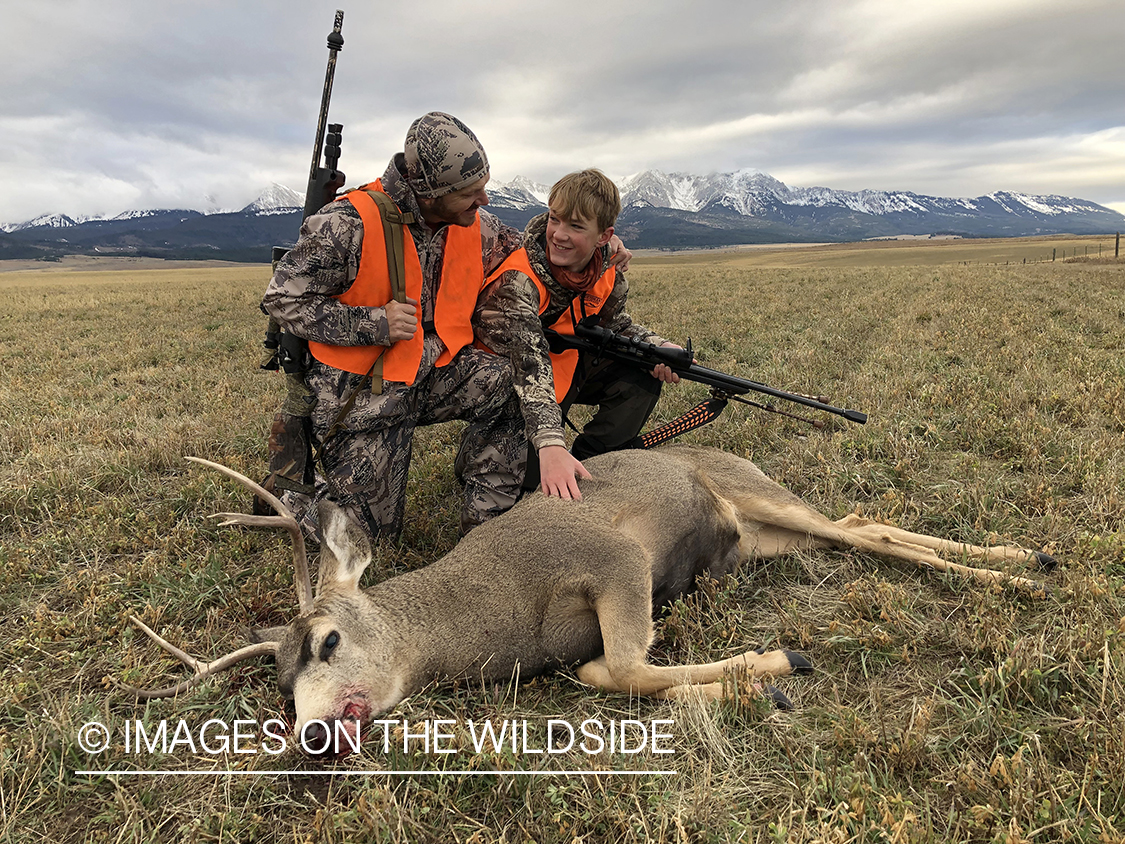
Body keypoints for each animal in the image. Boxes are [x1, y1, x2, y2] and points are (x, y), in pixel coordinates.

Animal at [123, 445, 1053, 751]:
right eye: (278, 686)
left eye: (325, 641)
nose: (308, 735)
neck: (496, 610)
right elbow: (603, 672)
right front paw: (754, 682)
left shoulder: (611, 557)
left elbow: (626, 666)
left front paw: (778, 665)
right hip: (761, 538)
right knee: (860, 525)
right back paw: (1023, 557)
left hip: (759, 499)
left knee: (864, 534)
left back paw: (1018, 566)